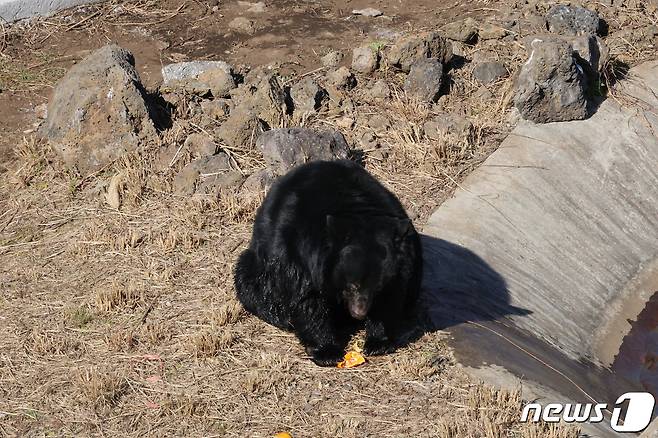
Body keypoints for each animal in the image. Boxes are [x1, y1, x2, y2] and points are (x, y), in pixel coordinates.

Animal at [233, 159, 422, 364]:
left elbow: (390, 296)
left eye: (376, 287)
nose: (359, 313)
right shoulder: (297, 254)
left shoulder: (401, 265)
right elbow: (306, 299)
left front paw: (378, 343)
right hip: (256, 268)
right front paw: (327, 352)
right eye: (352, 285)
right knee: (251, 287)